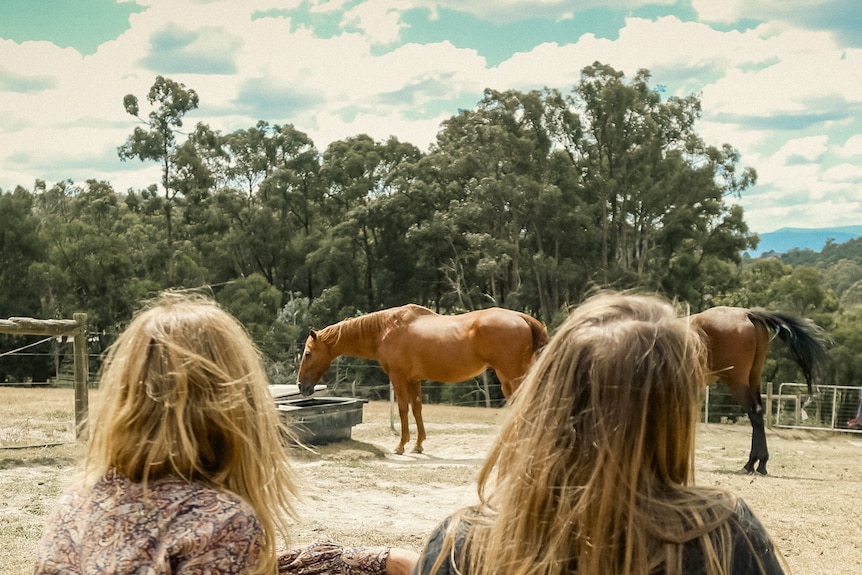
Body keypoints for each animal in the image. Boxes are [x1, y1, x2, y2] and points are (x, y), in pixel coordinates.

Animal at [298, 304, 552, 456]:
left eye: (308, 353)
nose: (301, 385)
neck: (386, 329)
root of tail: (521, 317)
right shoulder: (414, 379)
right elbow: (417, 408)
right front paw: (418, 444)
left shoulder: (399, 377)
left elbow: (403, 409)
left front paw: (401, 445)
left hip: (512, 376)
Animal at [688, 306, 832, 476]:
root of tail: (747, 314)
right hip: (754, 378)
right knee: (758, 412)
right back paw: (757, 463)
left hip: (737, 381)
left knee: (754, 412)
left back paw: (753, 463)